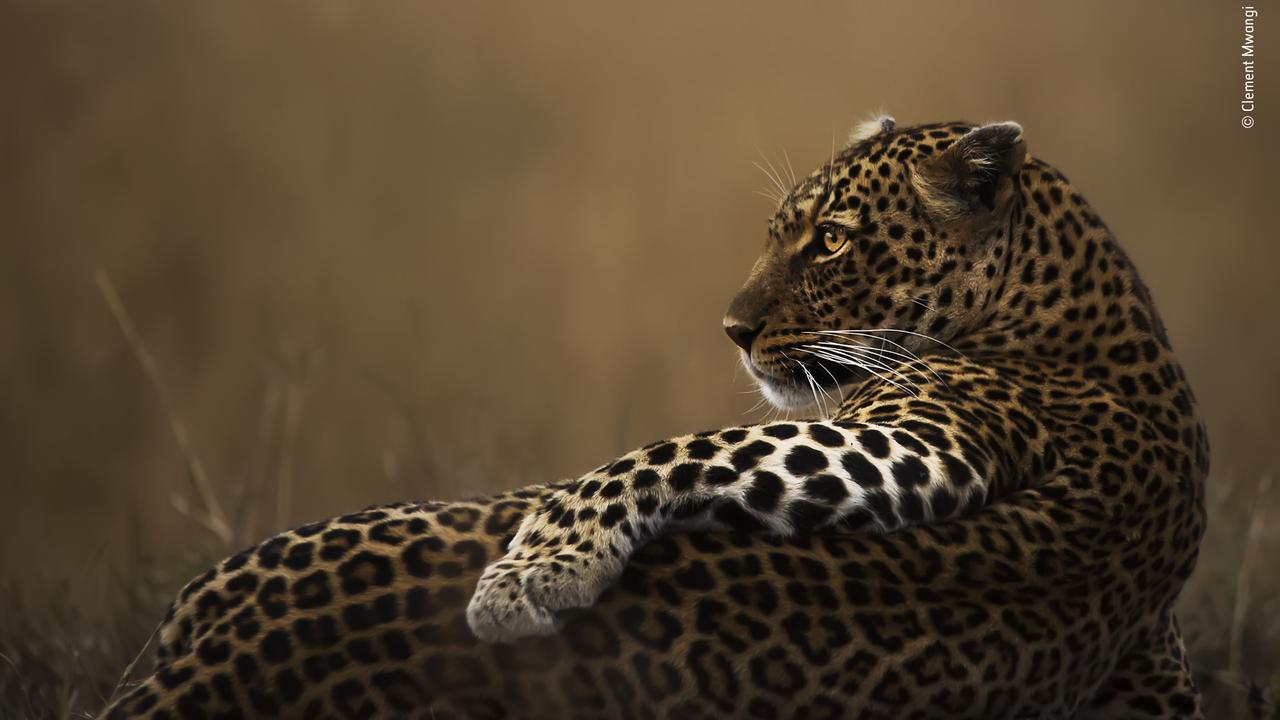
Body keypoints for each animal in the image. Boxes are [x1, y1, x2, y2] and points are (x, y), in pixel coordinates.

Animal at [102, 117, 1208, 717]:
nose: (731, 328)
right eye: (780, 233)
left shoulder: (922, 436)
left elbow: (673, 448)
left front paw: (532, 573)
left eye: (831, 240)